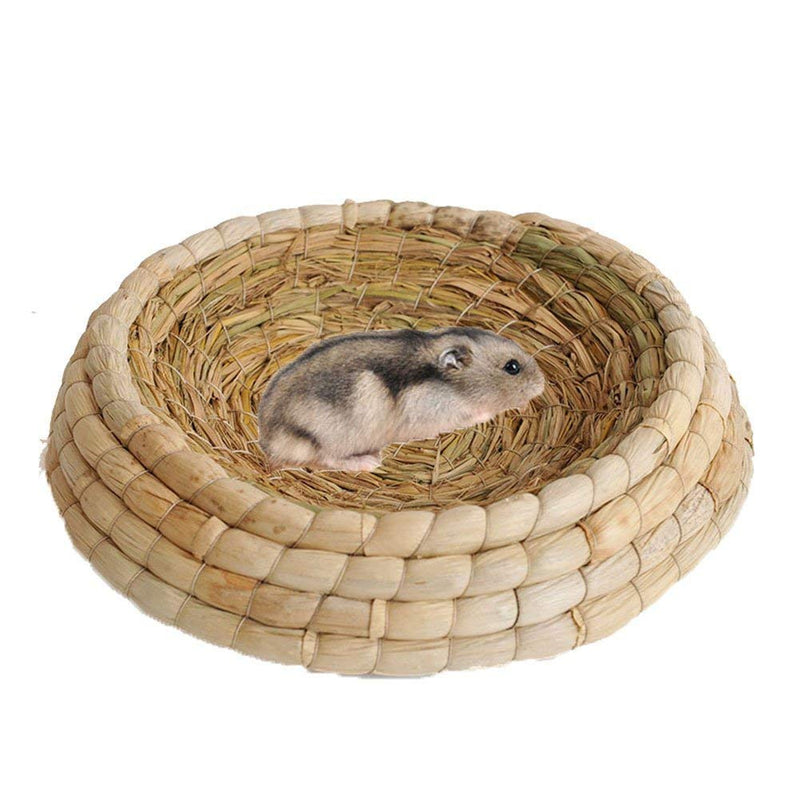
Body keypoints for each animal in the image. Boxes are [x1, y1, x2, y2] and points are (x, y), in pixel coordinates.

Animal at [257, 326, 546, 472]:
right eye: (512, 367)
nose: (542, 384)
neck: (451, 386)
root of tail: (267, 441)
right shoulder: (440, 414)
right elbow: (475, 413)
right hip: (330, 437)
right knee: (326, 459)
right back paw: (371, 462)